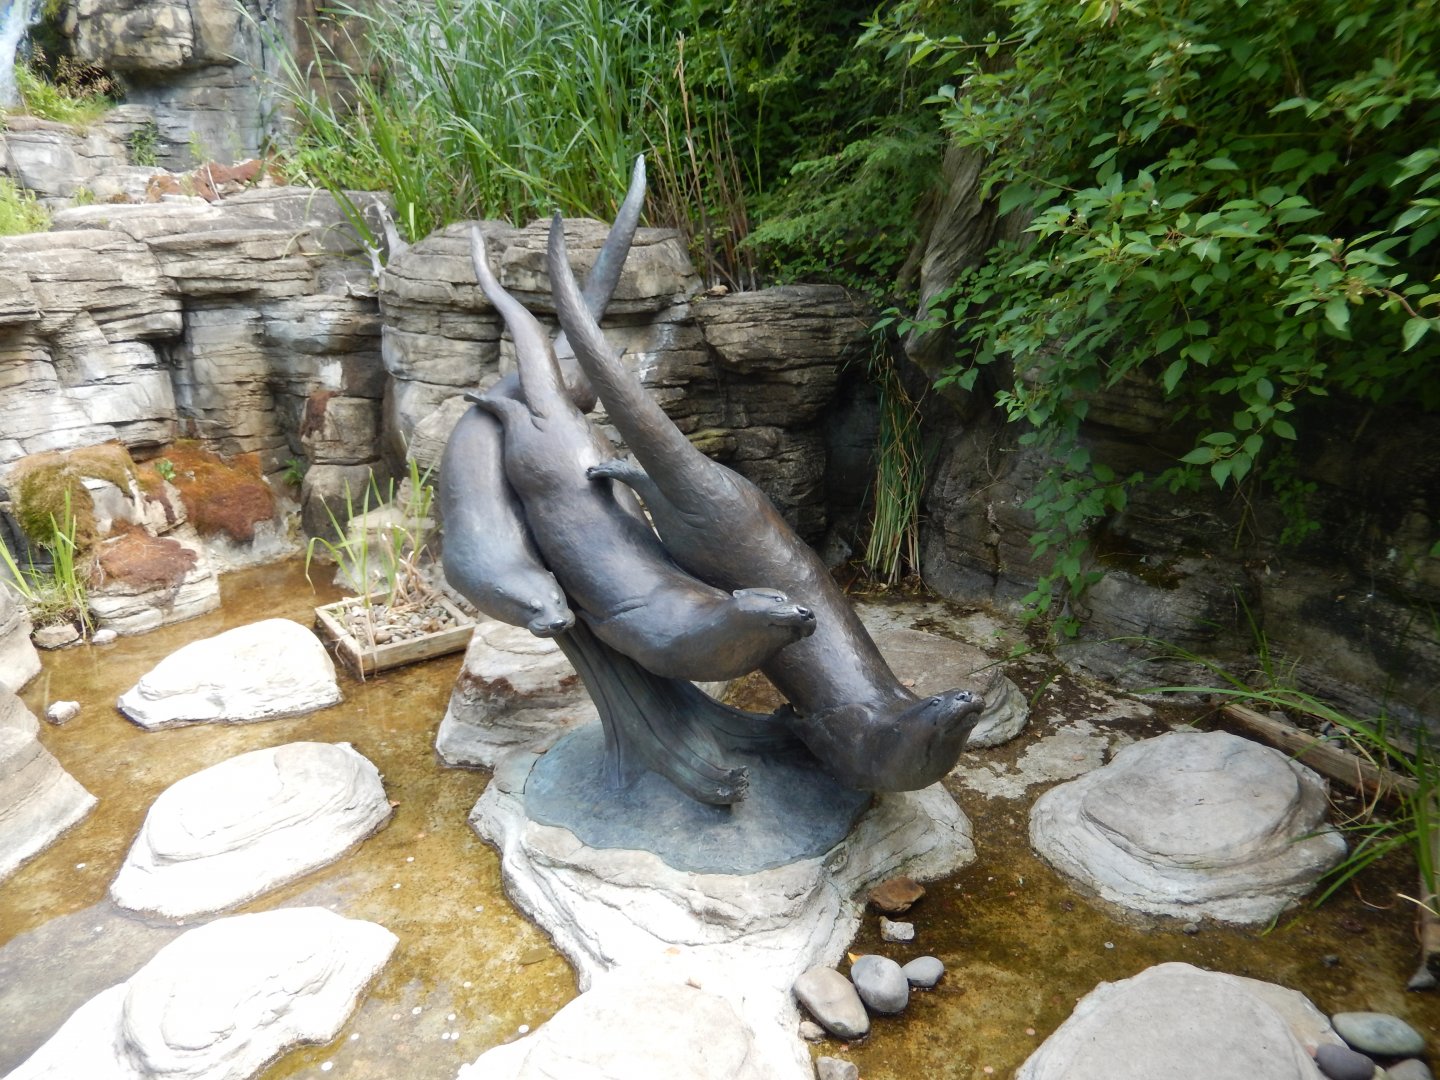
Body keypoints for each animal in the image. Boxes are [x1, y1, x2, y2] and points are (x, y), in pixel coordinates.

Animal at [469, 225, 816, 684]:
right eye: (773, 598)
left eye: (786, 593)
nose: (805, 610)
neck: (687, 625)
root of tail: (557, 412)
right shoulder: (630, 628)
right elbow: (603, 625)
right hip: (530, 449)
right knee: (512, 413)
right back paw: (478, 398)